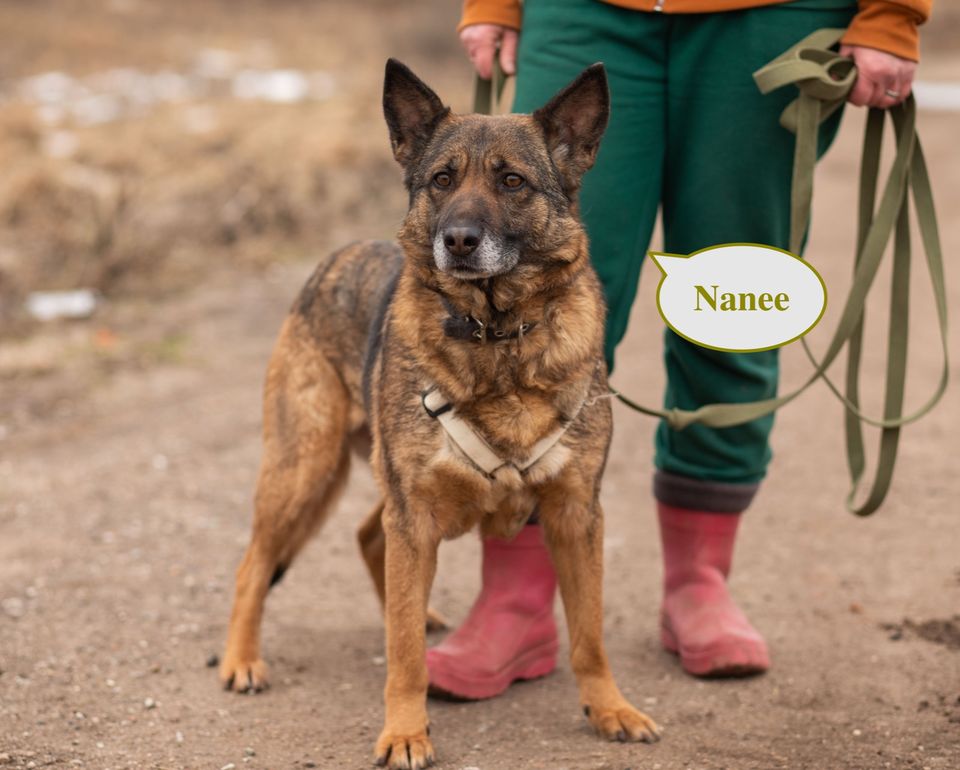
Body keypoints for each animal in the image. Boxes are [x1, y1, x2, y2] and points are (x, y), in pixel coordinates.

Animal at [220, 61, 660, 768]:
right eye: (442, 180)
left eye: (512, 181)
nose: (457, 240)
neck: (495, 336)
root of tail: (333, 258)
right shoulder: (416, 513)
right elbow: (403, 657)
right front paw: (405, 731)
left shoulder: (575, 516)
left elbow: (589, 635)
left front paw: (610, 708)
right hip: (304, 468)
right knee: (254, 563)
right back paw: (241, 659)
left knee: (369, 539)